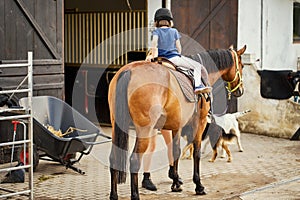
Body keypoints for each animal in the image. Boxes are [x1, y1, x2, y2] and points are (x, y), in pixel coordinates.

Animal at [108, 45, 246, 200]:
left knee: (113, 158)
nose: (240, 90)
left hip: (117, 126)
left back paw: (114, 195)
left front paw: (175, 182)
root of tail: (129, 70)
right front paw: (198, 185)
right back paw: (135, 195)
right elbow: (196, 152)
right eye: (242, 65)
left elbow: (175, 151)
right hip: (144, 130)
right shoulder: (199, 122)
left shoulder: (175, 126)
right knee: (135, 160)